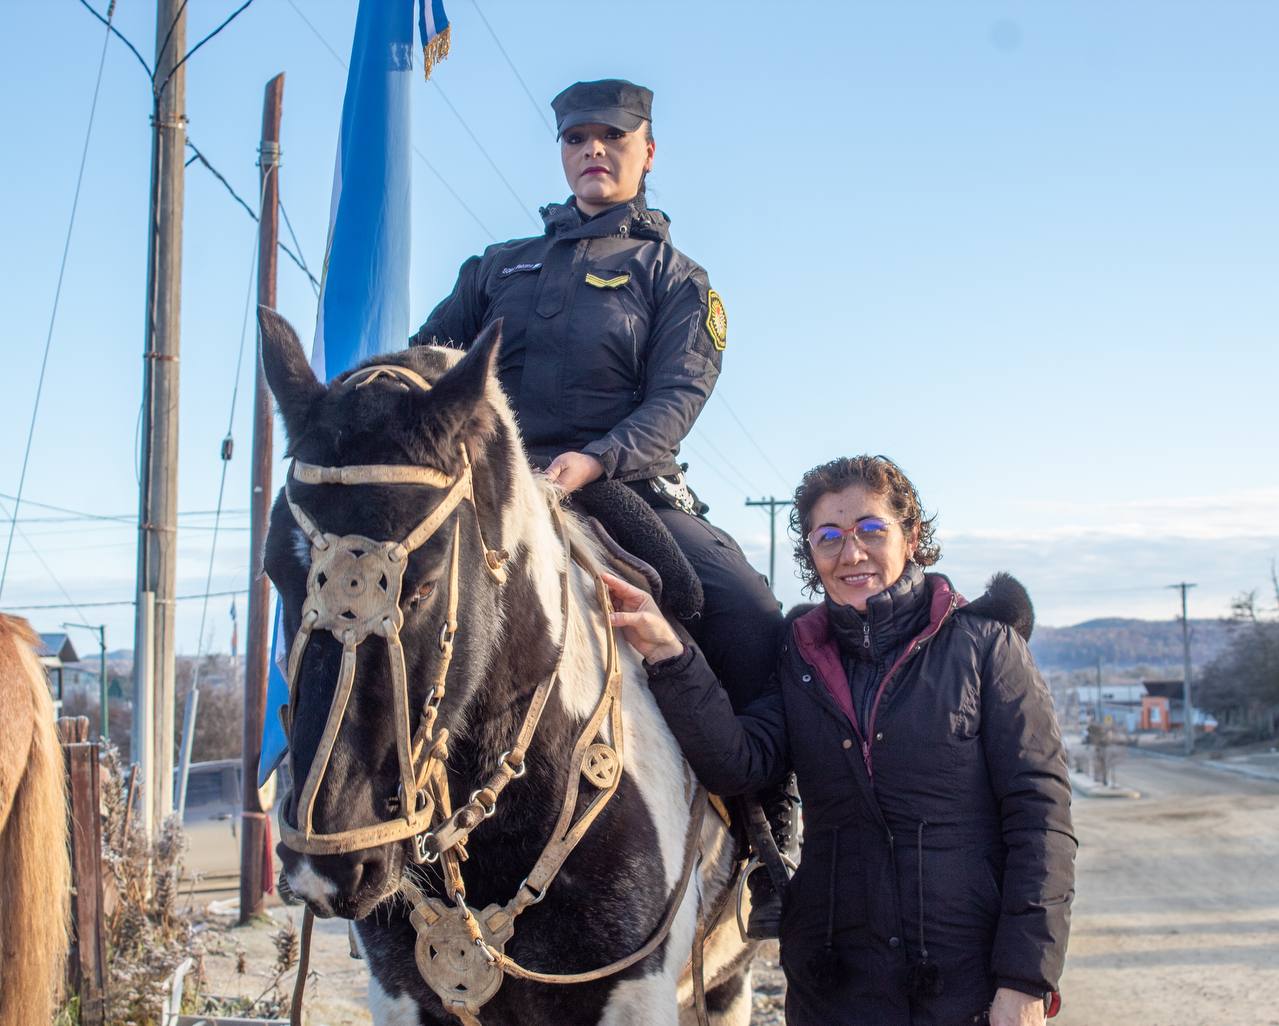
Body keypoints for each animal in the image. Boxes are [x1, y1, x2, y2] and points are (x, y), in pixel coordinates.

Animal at [262, 312, 757, 1023]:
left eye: (423, 584)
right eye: (276, 572)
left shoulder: (637, 996)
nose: (323, 868)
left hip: (727, 984)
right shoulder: (403, 997)